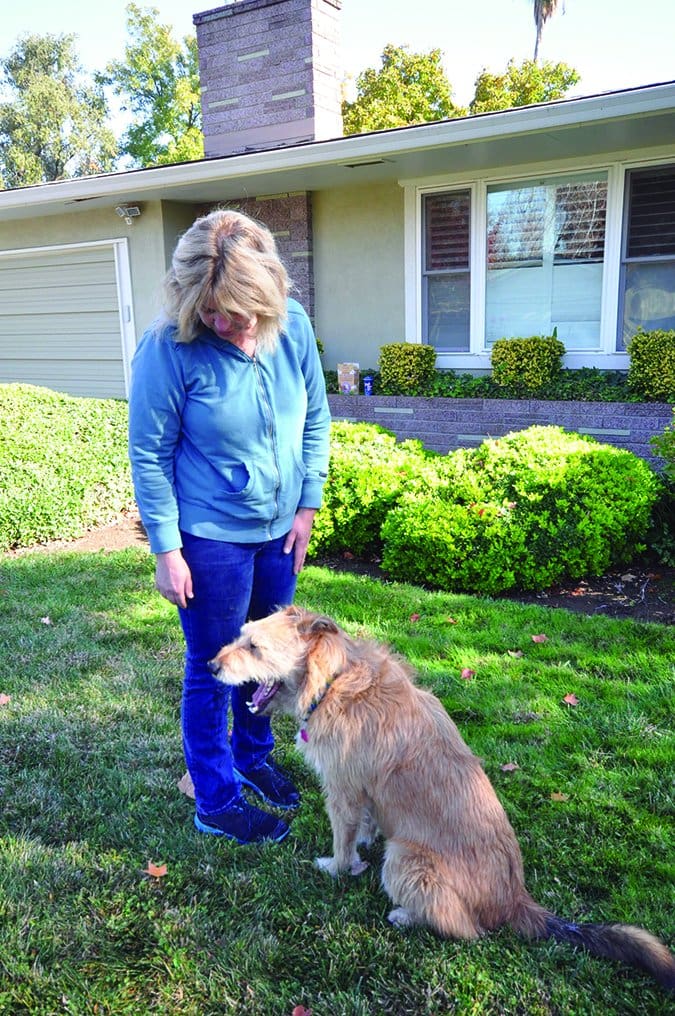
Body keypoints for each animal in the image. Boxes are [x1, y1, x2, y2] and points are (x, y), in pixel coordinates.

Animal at [211, 605, 675, 987]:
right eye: (243, 636)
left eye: (254, 646)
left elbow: (343, 840)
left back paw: (406, 915)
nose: (211, 666)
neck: (333, 680)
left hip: (405, 859)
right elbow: (366, 823)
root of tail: (514, 900)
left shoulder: (342, 791)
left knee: (464, 930)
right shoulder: (365, 794)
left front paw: (338, 867)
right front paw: (361, 846)